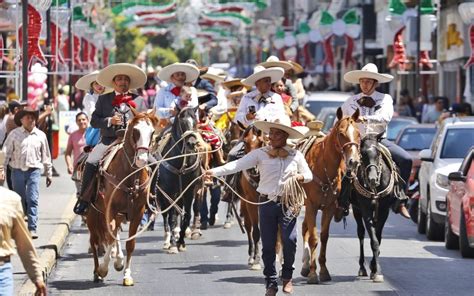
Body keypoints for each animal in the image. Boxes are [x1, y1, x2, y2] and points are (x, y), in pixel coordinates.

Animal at [86, 107, 158, 286]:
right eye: (136, 131)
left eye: (152, 132)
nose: (142, 160)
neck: (130, 176)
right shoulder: (110, 209)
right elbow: (110, 238)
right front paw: (103, 269)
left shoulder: (138, 212)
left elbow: (130, 243)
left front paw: (126, 274)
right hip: (92, 214)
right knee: (95, 240)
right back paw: (97, 272)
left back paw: (118, 260)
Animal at [154, 107, 202, 253]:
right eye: (182, 122)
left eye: (195, 121)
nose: (191, 143)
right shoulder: (169, 192)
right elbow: (171, 218)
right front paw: (173, 244)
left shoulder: (189, 191)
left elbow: (186, 216)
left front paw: (181, 242)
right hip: (162, 194)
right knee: (166, 215)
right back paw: (167, 240)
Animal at [302, 107, 362, 284]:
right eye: (341, 133)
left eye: (358, 133)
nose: (353, 162)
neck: (322, 166)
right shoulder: (311, 206)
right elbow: (313, 238)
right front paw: (313, 274)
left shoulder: (328, 208)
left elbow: (324, 237)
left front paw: (322, 270)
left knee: (304, 229)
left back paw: (305, 265)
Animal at [350, 130, 398, 282]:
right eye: (363, 154)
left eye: (377, 153)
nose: (372, 179)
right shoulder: (365, 211)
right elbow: (374, 240)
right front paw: (375, 270)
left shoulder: (383, 211)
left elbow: (379, 237)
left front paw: (375, 268)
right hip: (356, 210)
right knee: (360, 233)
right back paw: (362, 267)